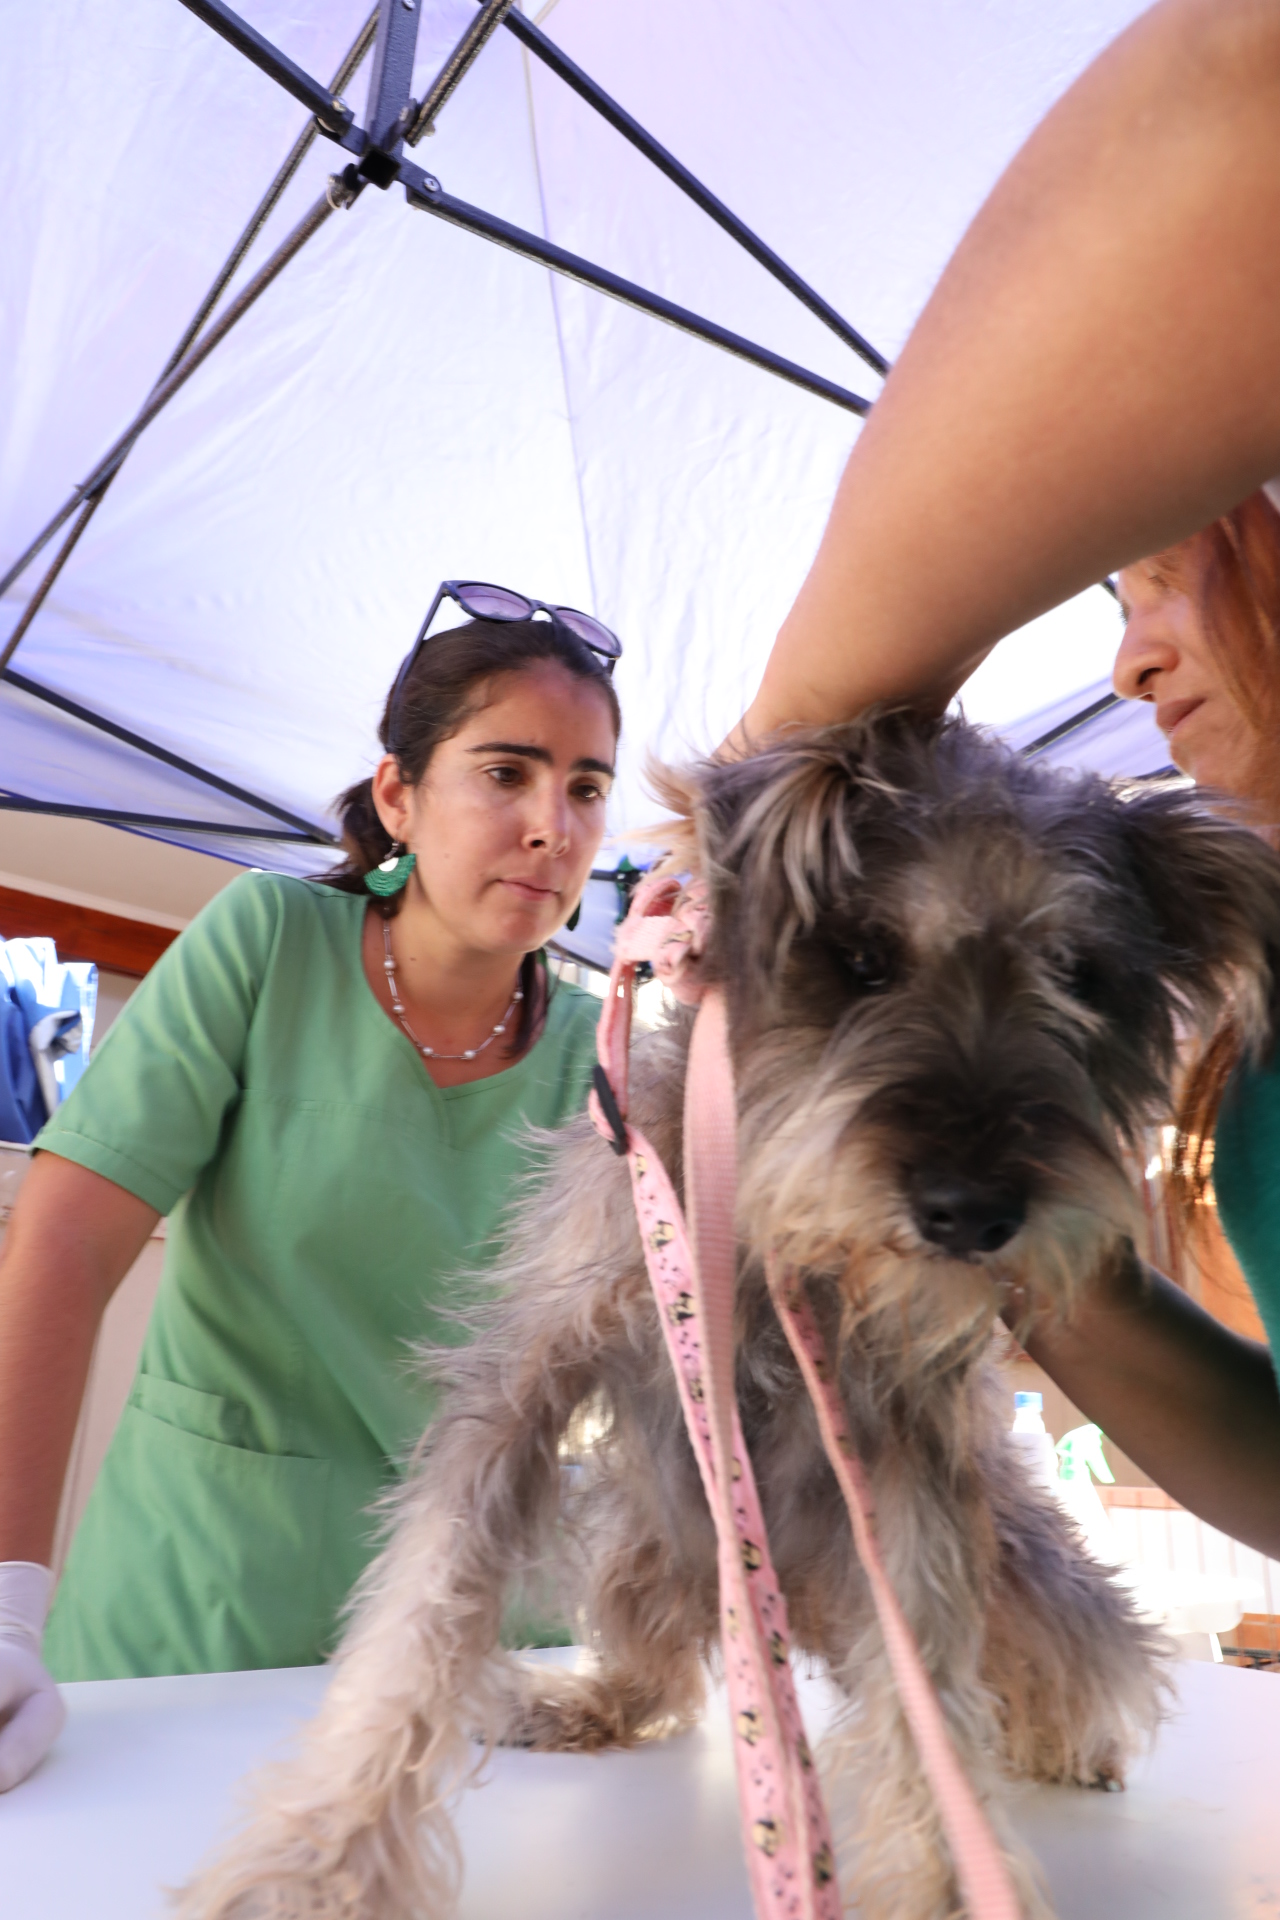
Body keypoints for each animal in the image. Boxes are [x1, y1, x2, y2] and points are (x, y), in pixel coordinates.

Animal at [175, 718, 1280, 1920]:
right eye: (860, 956)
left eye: (1080, 976)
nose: (971, 1211)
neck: (765, 1222)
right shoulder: (526, 1384)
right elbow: (418, 1617)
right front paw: (315, 1864)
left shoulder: (902, 1450)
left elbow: (928, 1683)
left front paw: (947, 1877)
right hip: (639, 1531)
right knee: (655, 1670)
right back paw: (574, 1702)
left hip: (1027, 1565)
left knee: (1073, 1668)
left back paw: (1063, 1742)